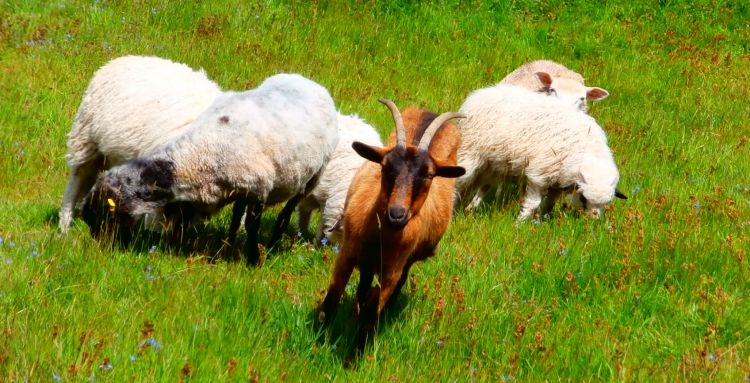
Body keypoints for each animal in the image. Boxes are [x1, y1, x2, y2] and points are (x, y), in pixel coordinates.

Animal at [81, 73, 340, 264]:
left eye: (104, 215)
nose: (98, 247)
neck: (196, 153)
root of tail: (313, 83)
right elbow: (183, 221)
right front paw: (175, 246)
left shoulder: (260, 188)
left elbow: (251, 225)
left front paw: (253, 260)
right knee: (236, 215)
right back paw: (229, 242)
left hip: (311, 178)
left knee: (286, 213)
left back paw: (273, 243)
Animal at [318, 98, 464, 348]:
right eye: (385, 166)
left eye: (429, 175)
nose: (397, 214)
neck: (379, 236)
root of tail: (431, 113)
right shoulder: (347, 253)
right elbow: (332, 297)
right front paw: (317, 339)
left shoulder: (392, 270)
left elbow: (371, 315)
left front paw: (355, 353)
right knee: (363, 285)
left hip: (405, 262)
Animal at [458, 85, 628, 220]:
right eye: (583, 198)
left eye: (606, 203)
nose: (592, 220)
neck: (588, 152)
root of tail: (481, 93)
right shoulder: (539, 175)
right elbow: (532, 204)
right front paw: (520, 223)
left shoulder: (558, 183)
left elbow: (548, 205)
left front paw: (543, 220)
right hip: (469, 153)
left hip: (491, 165)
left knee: (480, 186)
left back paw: (468, 209)